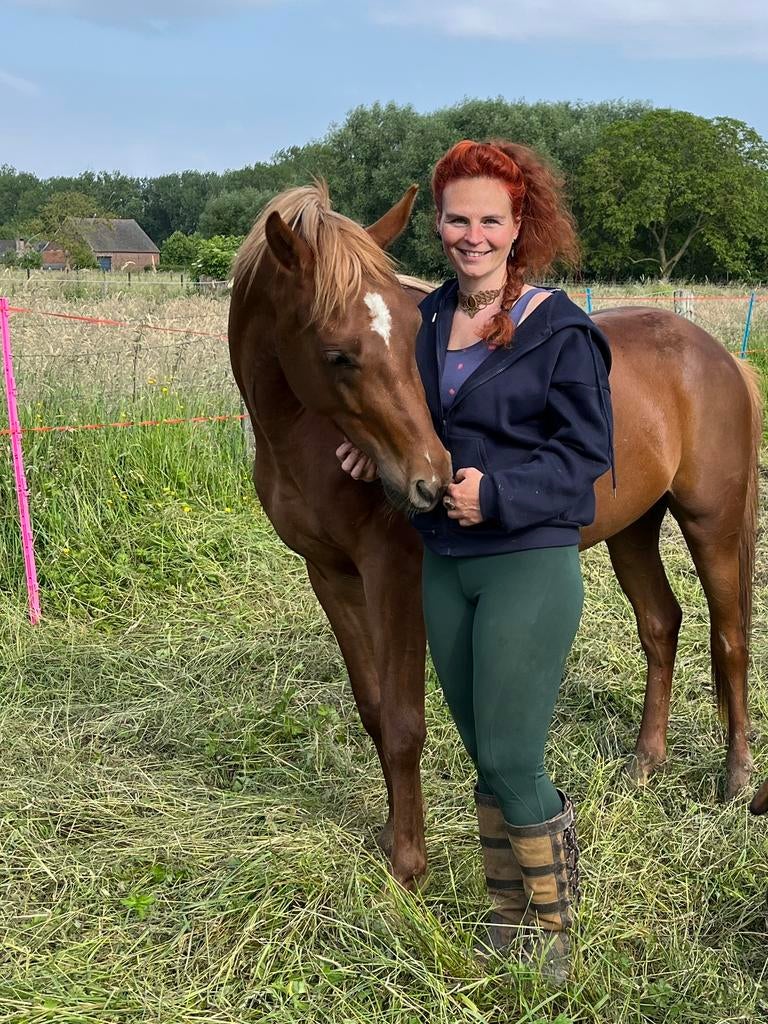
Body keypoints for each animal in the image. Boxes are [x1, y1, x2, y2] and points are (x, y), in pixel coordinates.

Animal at [228, 182, 761, 886]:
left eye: (411, 333)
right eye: (338, 355)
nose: (431, 480)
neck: (301, 442)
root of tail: (720, 355)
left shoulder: (394, 576)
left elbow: (403, 720)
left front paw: (409, 864)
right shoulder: (331, 576)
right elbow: (373, 710)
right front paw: (389, 837)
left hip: (711, 523)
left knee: (729, 638)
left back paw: (736, 780)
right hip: (633, 529)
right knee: (660, 624)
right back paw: (645, 764)